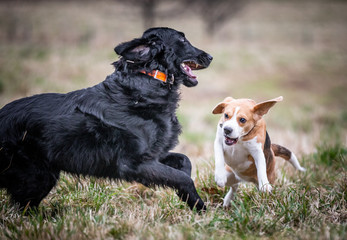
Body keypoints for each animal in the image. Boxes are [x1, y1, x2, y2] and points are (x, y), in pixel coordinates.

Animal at [0, 27, 212, 210]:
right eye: (182, 40)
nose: (210, 57)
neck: (147, 82)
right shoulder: (134, 164)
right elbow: (182, 178)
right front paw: (201, 208)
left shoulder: (155, 155)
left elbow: (184, 161)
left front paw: (188, 199)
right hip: (37, 176)